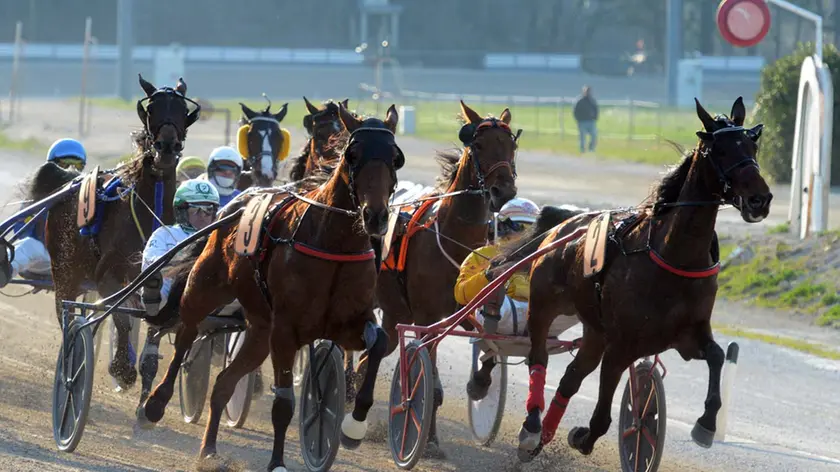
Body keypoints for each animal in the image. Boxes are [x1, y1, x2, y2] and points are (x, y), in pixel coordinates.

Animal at [26, 75, 200, 392]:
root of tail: (69, 183)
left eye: (183, 110)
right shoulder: (108, 276)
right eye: (152, 108)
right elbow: (121, 318)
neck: (147, 209)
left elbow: (152, 322)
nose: (167, 148)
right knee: (66, 316)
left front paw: (142, 366)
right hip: (66, 273)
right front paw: (122, 368)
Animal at [139, 101, 406, 470]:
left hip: (258, 331)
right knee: (185, 336)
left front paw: (354, 425)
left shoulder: (348, 322)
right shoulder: (286, 330)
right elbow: (283, 404)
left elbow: (378, 344)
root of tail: (235, 205)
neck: (332, 242)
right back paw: (155, 402)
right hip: (205, 288)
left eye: (395, 157)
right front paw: (278, 461)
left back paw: (209, 449)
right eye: (353, 155)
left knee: (222, 384)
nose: (376, 216)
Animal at [360, 100, 520, 454]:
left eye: (512, 145)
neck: (454, 240)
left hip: (393, 314)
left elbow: (490, 337)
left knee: (376, 350)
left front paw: (480, 383)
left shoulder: (466, 309)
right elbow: (429, 378)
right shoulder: (427, 317)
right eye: (478, 144)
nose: (503, 190)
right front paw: (427, 438)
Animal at [506, 97, 776, 460]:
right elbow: (603, 416)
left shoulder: (688, 335)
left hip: (595, 331)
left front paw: (706, 424)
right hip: (543, 305)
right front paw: (584, 436)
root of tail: (564, 223)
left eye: (752, 145)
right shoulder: (622, 344)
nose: (760, 198)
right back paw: (533, 427)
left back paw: (545, 432)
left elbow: (718, 356)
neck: (673, 255)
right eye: (719, 150)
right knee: (539, 357)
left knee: (571, 378)